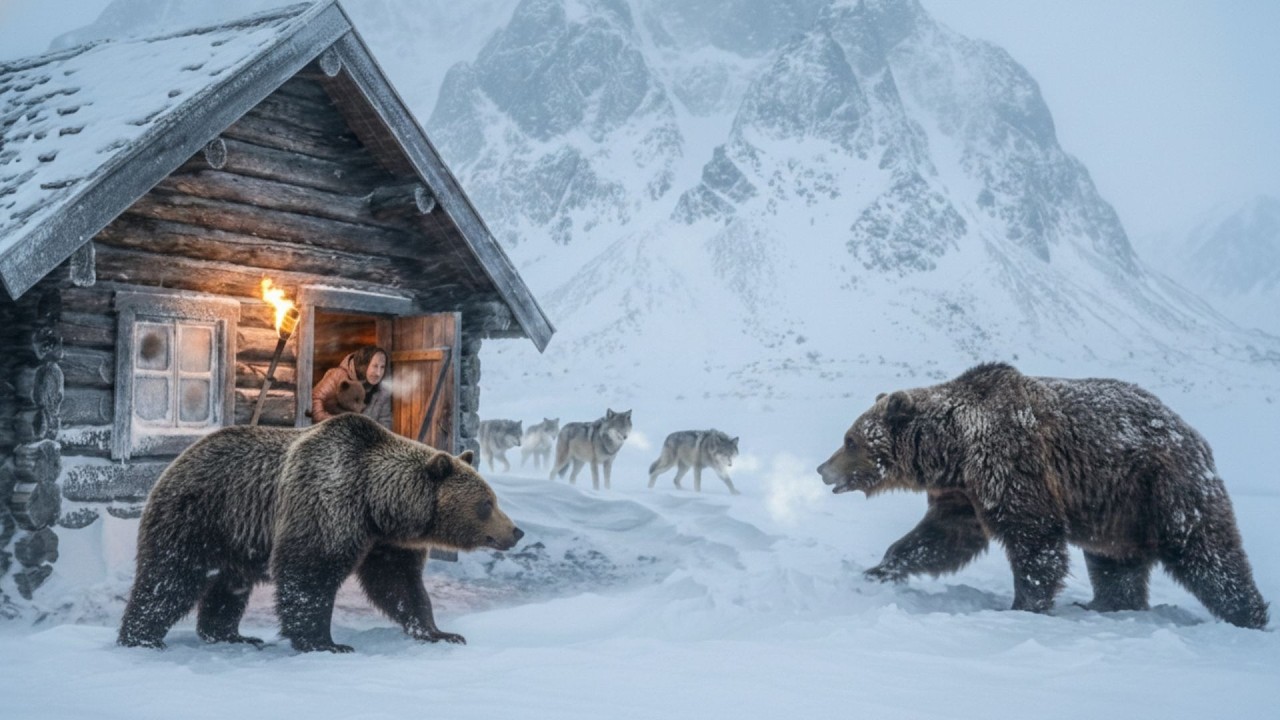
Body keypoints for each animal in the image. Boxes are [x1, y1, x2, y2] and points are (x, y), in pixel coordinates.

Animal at [118, 413, 523, 652]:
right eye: (486, 504)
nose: (515, 531)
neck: (376, 503)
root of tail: (176, 459)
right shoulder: (325, 504)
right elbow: (308, 575)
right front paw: (326, 642)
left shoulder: (386, 542)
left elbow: (399, 585)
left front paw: (440, 632)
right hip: (200, 516)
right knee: (169, 578)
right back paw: (141, 637)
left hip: (236, 538)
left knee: (228, 587)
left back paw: (233, 635)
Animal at [817, 362, 1269, 629]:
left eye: (850, 439)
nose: (823, 468)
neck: (953, 448)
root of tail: (1194, 434)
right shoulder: (964, 491)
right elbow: (942, 538)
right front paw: (878, 570)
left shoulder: (1012, 465)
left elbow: (1033, 540)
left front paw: (1022, 605)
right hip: (1116, 508)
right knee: (1115, 563)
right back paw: (1106, 604)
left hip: (1161, 486)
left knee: (1207, 551)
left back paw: (1248, 614)